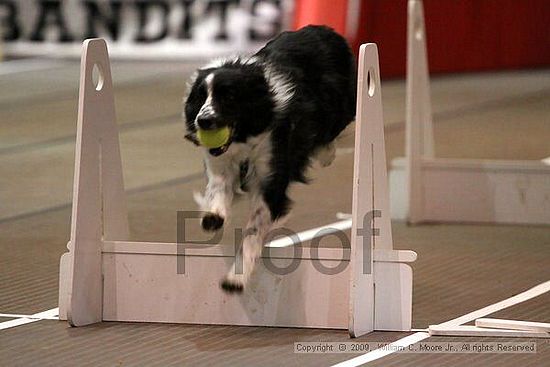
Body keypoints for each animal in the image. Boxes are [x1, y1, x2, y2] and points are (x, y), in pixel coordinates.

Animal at [185, 25, 358, 294]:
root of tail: (324, 29)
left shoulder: (270, 178)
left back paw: (325, 154)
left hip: (341, 103)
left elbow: (253, 230)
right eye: (201, 96)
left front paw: (236, 277)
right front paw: (213, 216)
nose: (203, 121)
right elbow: (218, 190)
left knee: (332, 130)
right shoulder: (221, 163)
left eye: (229, 96)